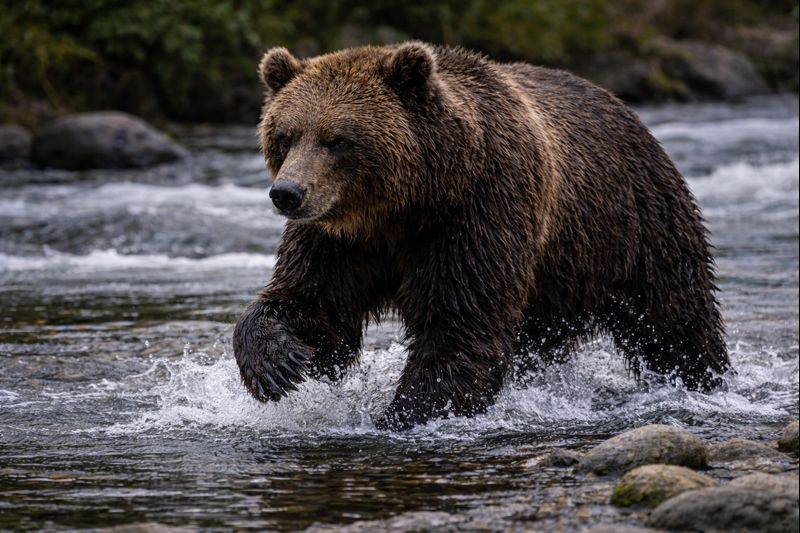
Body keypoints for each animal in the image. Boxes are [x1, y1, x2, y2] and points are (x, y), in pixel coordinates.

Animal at [233, 42, 731, 430]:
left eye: (337, 140)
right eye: (285, 134)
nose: (287, 193)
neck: (404, 205)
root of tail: (627, 110)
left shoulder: (478, 212)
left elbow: (460, 321)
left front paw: (404, 416)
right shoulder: (340, 239)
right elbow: (315, 307)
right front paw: (278, 364)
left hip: (634, 223)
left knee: (674, 319)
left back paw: (703, 381)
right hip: (559, 276)